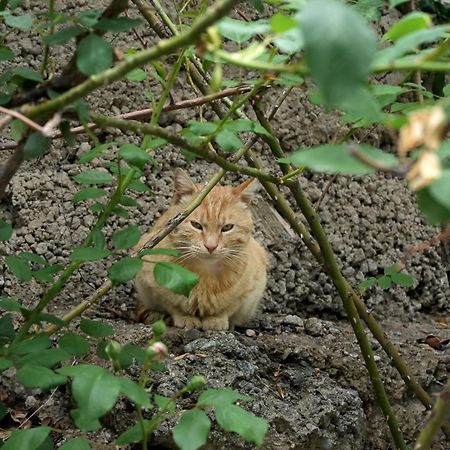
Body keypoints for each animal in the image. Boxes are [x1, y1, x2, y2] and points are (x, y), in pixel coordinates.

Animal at [134, 169, 268, 330]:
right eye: (196, 225)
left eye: (227, 227)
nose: (211, 246)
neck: (205, 276)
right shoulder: (150, 279)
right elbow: (172, 303)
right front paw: (185, 317)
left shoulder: (251, 286)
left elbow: (227, 308)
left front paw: (216, 319)